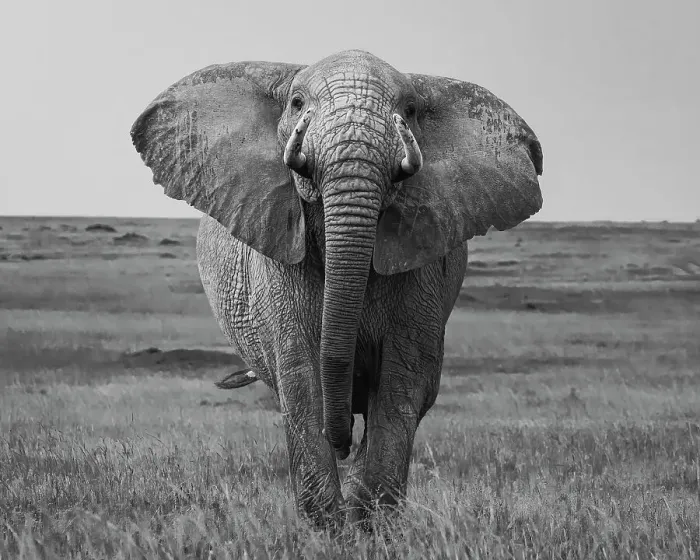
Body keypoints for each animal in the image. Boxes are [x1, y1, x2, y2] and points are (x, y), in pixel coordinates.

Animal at [131, 49, 543, 527]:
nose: (340, 442)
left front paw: (369, 525)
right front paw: (329, 530)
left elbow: (401, 386)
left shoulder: (424, 265)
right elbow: (302, 382)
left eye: (410, 112)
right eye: (296, 104)